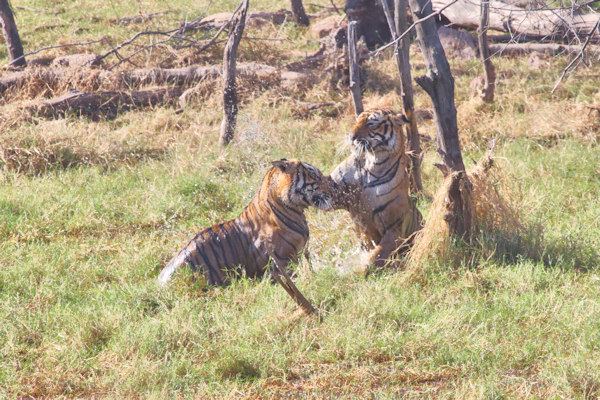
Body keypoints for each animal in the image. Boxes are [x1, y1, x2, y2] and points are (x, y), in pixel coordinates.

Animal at [159, 159, 332, 312]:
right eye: (313, 174)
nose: (333, 188)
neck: (291, 208)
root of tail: (158, 285)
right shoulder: (284, 261)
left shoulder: (302, 252)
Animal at [330, 108, 424, 268]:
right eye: (357, 121)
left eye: (371, 124)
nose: (351, 137)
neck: (372, 163)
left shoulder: (394, 227)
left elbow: (376, 255)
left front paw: (359, 268)